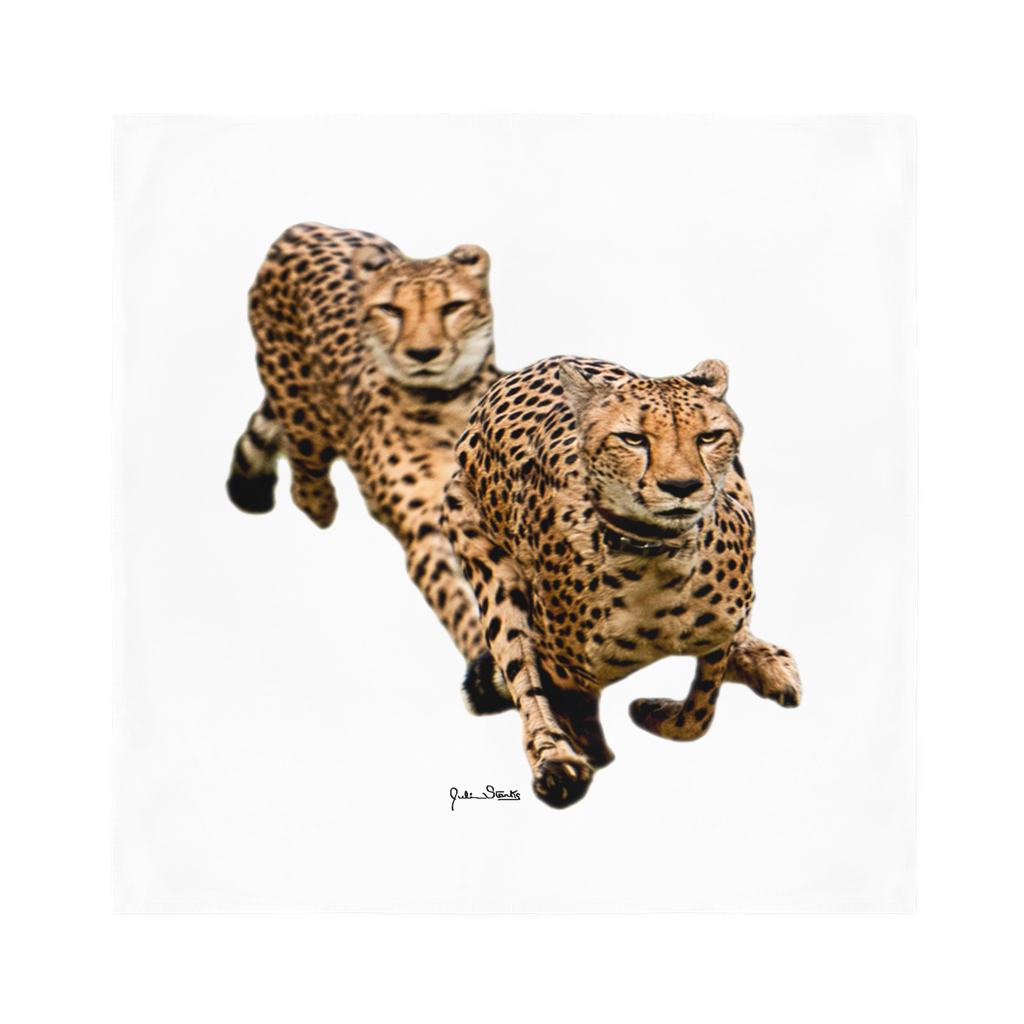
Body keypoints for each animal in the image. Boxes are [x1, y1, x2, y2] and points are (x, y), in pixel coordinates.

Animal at [227, 222, 502, 662]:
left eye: (452, 307)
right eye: (391, 310)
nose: (423, 353)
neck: (446, 404)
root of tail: (302, 227)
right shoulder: (425, 533)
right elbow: (459, 604)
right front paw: (482, 655)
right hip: (302, 413)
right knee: (305, 471)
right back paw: (320, 504)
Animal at [442, 355, 801, 808]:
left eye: (708, 437)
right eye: (632, 439)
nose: (682, 487)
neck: (654, 554)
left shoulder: (720, 627)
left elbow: (699, 712)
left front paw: (654, 712)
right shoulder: (565, 671)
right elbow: (572, 713)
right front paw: (585, 752)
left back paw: (768, 662)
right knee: (520, 668)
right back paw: (555, 761)